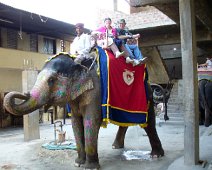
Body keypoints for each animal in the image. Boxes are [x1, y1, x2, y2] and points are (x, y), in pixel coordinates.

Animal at [4, 53, 165, 170]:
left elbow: (91, 121)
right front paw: (78, 163)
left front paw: (90, 167)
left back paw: (156, 155)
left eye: (51, 80)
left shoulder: (95, 92)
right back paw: (116, 146)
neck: (77, 63)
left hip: (148, 99)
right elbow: (76, 123)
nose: (24, 93)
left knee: (149, 124)